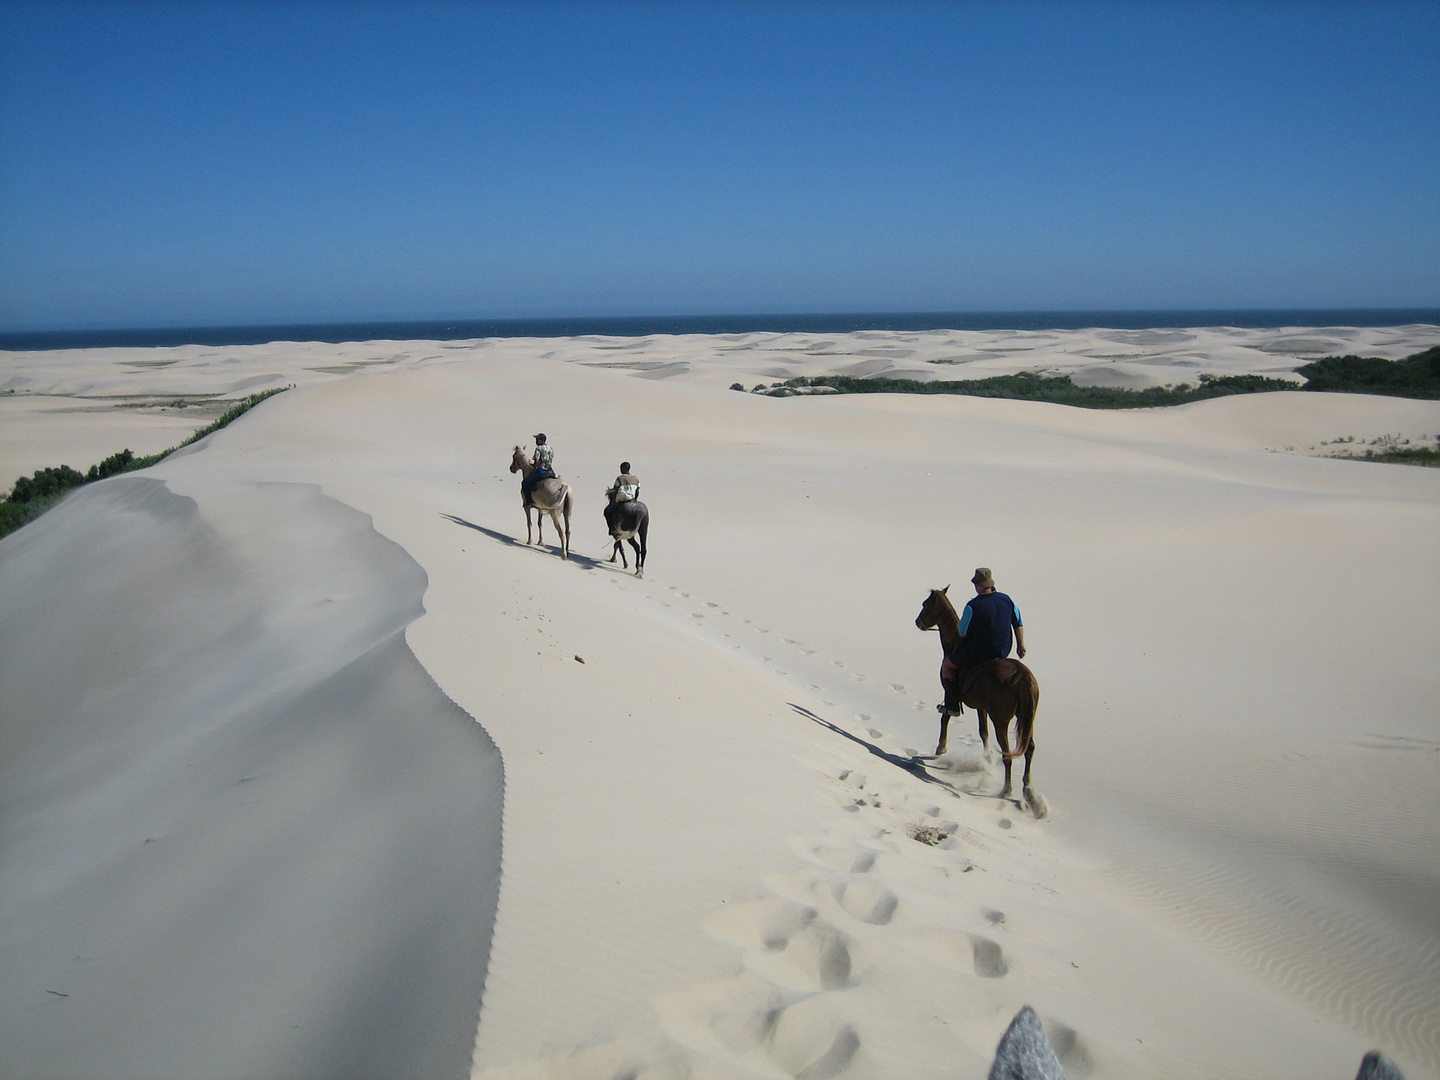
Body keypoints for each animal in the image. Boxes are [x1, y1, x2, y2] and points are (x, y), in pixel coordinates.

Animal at [915, 593, 1042, 806]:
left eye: (926, 604)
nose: (918, 622)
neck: (955, 644)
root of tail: (1021, 675)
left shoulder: (951, 694)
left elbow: (946, 717)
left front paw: (941, 747)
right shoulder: (982, 707)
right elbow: (983, 732)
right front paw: (987, 760)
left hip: (1000, 719)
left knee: (1008, 755)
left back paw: (1006, 790)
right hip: (1027, 718)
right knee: (1029, 748)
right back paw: (1028, 789)